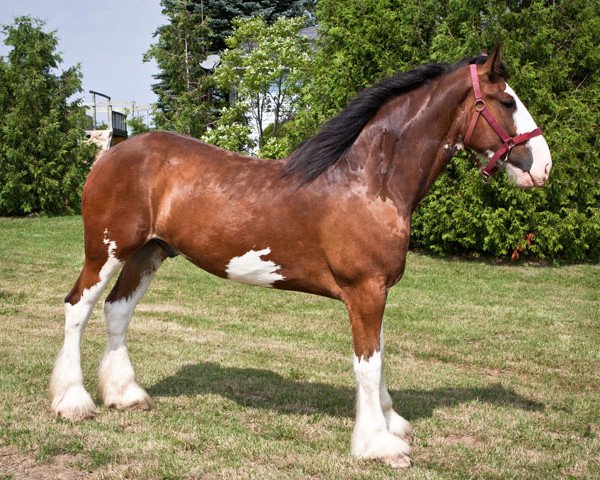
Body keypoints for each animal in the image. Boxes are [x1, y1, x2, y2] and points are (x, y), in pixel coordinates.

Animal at [51, 49, 552, 468]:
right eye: (507, 101)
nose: (544, 166)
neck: (369, 181)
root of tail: (112, 153)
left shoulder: (377, 293)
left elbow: (380, 355)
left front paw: (392, 425)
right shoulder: (365, 291)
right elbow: (367, 364)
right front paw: (380, 445)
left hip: (148, 253)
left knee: (117, 312)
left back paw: (126, 395)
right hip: (106, 251)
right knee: (79, 308)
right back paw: (73, 402)